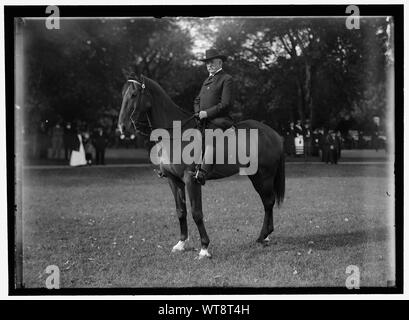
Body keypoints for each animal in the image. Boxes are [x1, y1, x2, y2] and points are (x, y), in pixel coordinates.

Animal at [118, 74, 284, 258]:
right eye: (123, 95)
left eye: (133, 95)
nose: (122, 127)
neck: (176, 135)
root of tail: (273, 133)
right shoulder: (173, 180)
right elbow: (181, 211)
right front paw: (181, 243)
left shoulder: (191, 180)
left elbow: (196, 213)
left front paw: (204, 248)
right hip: (255, 176)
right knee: (267, 202)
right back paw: (266, 237)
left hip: (263, 176)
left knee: (268, 202)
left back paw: (263, 236)